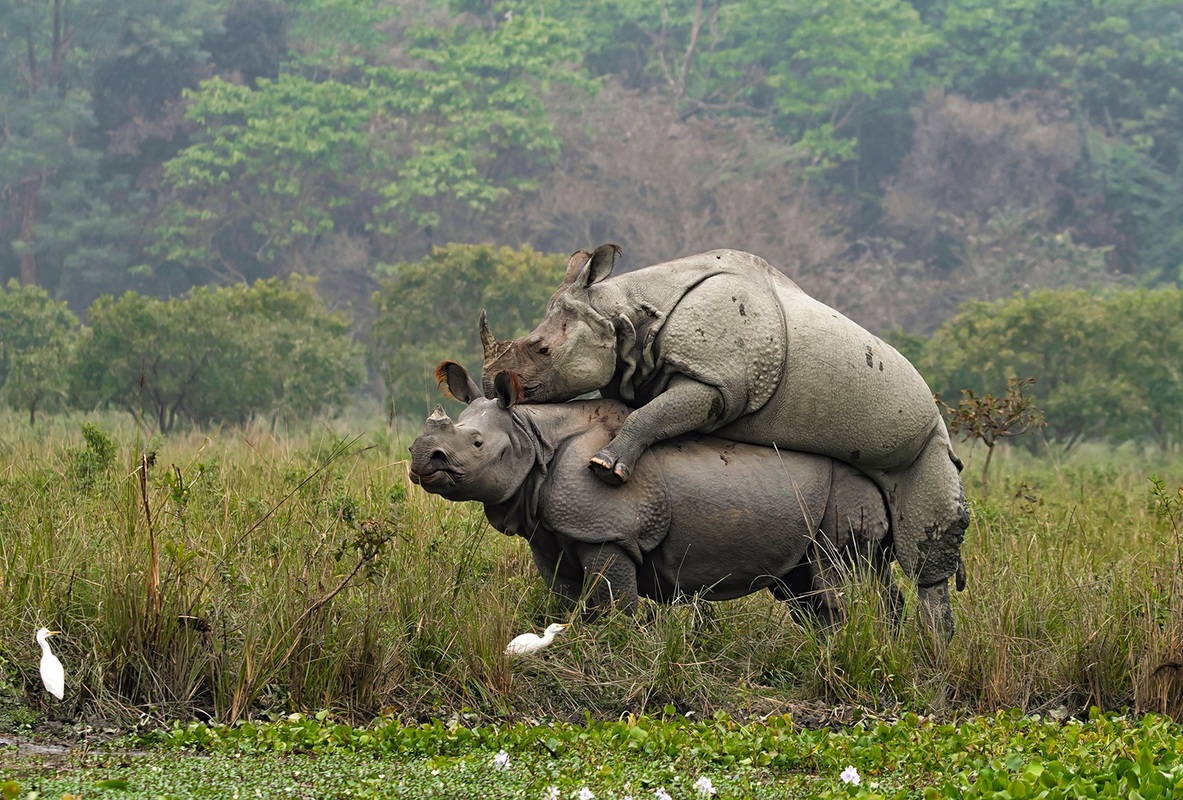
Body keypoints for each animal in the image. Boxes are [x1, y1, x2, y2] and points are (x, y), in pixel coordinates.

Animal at [409, 361, 903, 625]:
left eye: (476, 444)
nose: (421, 458)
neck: (534, 437)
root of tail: (879, 483)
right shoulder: (550, 536)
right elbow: (567, 602)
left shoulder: (608, 532)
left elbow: (616, 606)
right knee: (814, 585)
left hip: (845, 491)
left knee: (832, 575)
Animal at [480, 245, 967, 638]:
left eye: (543, 350)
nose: (490, 384)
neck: (626, 310)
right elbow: (644, 414)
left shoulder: (718, 383)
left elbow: (652, 414)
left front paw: (606, 468)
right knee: (876, 564)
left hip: (929, 433)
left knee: (922, 554)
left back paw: (932, 654)